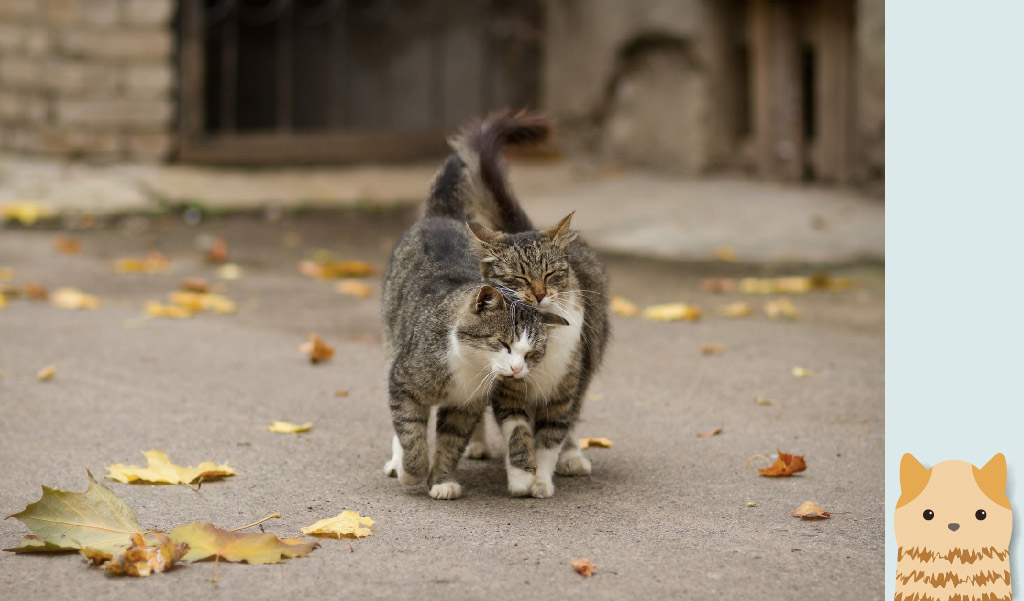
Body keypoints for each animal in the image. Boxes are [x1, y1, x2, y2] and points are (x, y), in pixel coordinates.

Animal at [380, 201, 568, 500]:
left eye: (531, 354)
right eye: (503, 343)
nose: (517, 369)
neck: (468, 365)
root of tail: (441, 216)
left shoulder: (466, 406)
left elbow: (451, 444)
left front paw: (442, 480)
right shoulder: (403, 381)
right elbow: (410, 430)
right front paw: (411, 471)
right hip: (392, 342)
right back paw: (398, 461)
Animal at [435, 110, 611, 497]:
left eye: (550, 274)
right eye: (518, 278)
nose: (540, 294)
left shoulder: (565, 386)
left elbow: (550, 438)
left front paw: (542, 480)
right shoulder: (507, 389)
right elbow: (518, 434)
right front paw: (520, 477)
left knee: (572, 421)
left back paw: (572, 457)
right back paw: (478, 444)